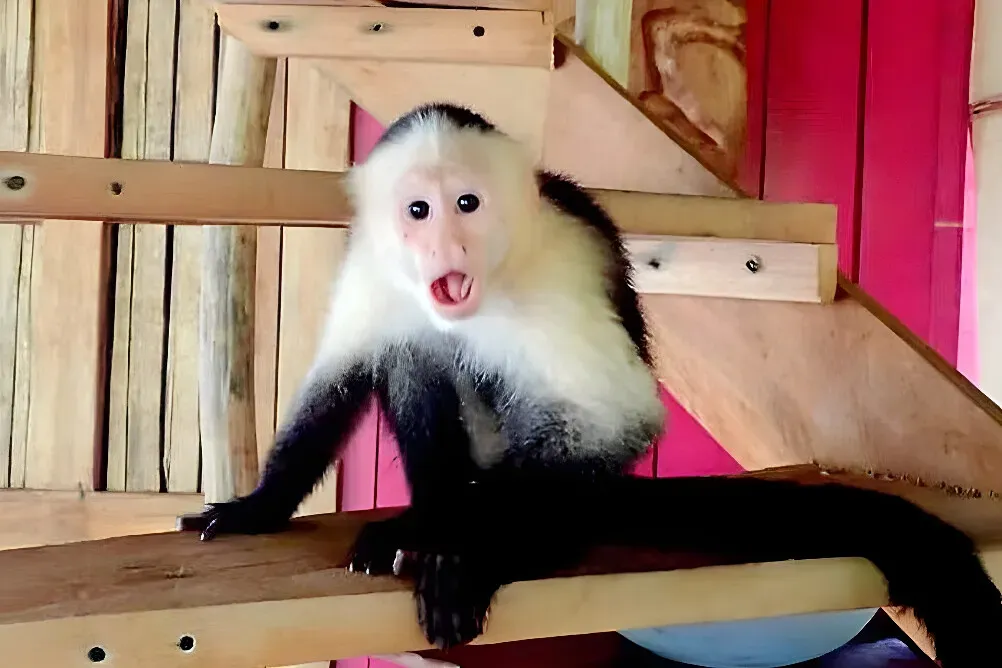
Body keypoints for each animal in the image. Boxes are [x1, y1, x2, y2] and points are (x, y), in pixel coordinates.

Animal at [180, 102, 1002, 665]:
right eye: (419, 210)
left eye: (467, 204)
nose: (446, 245)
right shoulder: (374, 266)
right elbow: (342, 374)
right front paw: (260, 505)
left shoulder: (559, 272)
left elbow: (617, 417)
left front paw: (462, 544)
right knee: (415, 353)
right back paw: (437, 505)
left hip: (575, 488)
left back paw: (493, 539)